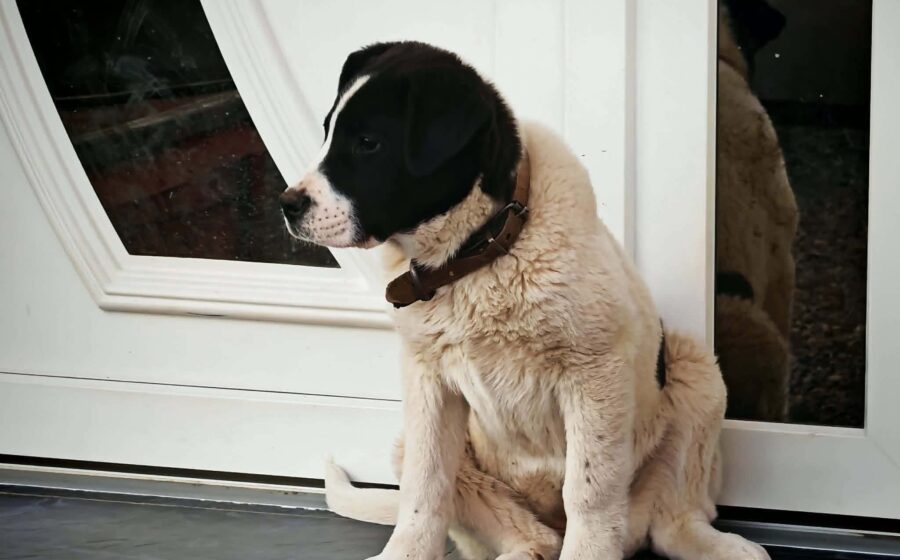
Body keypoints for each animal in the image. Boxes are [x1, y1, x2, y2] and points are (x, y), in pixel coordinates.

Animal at [280, 41, 770, 560]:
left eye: (369, 143)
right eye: (329, 132)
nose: (287, 205)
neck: (474, 256)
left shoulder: (594, 374)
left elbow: (590, 491)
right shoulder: (428, 381)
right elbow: (424, 485)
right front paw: (405, 553)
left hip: (695, 374)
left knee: (671, 520)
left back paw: (722, 546)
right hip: (440, 458)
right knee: (531, 538)